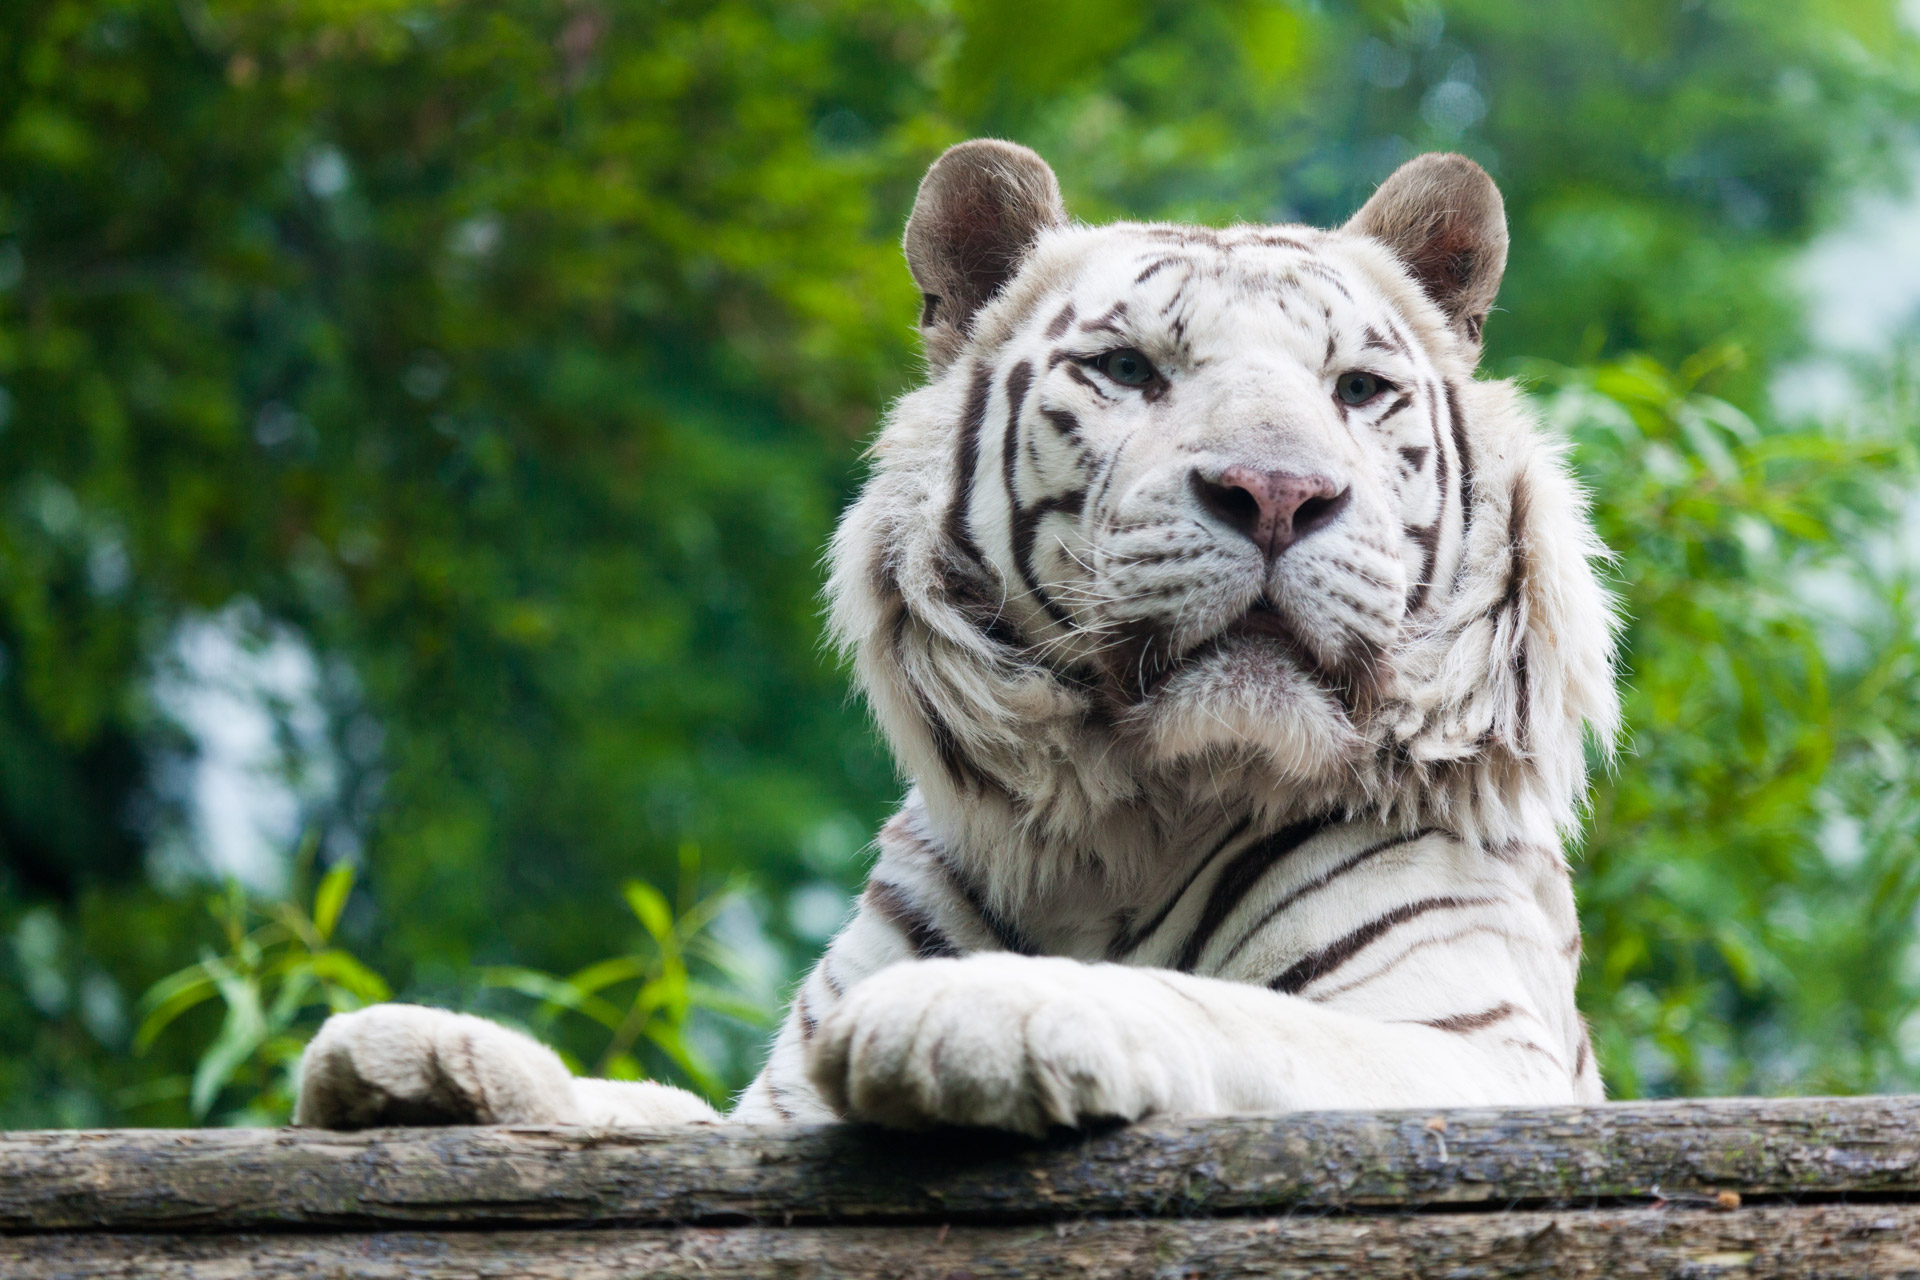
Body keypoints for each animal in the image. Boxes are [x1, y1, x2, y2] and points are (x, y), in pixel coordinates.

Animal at [299, 142, 1620, 1143]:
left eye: (1356, 390)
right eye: (1128, 368)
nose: (1277, 493)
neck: (1129, 824)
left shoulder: (1471, 1049)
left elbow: (1220, 1008)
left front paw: (972, 1011)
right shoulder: (766, 1112)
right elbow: (653, 1102)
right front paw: (419, 1055)